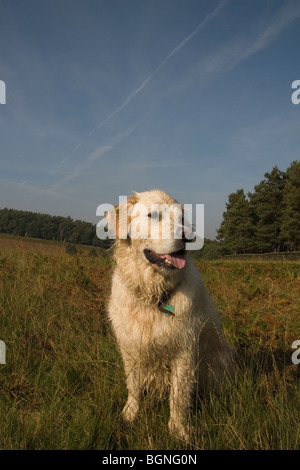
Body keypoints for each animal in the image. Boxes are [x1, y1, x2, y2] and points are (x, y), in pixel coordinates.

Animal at [105, 188, 234, 440]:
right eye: (154, 215)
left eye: (182, 218)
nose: (187, 236)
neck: (153, 294)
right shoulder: (129, 346)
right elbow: (133, 386)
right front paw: (130, 414)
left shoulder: (183, 351)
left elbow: (179, 396)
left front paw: (178, 430)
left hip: (218, 361)